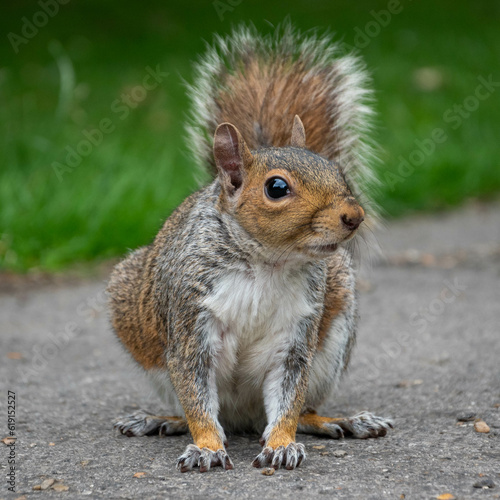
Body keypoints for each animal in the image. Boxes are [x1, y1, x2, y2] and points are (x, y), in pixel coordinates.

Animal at [107, 22, 392, 472]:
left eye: (336, 170)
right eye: (276, 188)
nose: (354, 215)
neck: (267, 262)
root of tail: (243, 415)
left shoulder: (297, 334)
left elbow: (289, 396)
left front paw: (281, 444)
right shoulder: (190, 318)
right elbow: (196, 394)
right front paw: (206, 447)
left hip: (334, 331)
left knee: (304, 409)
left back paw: (342, 420)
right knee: (195, 407)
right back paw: (162, 419)